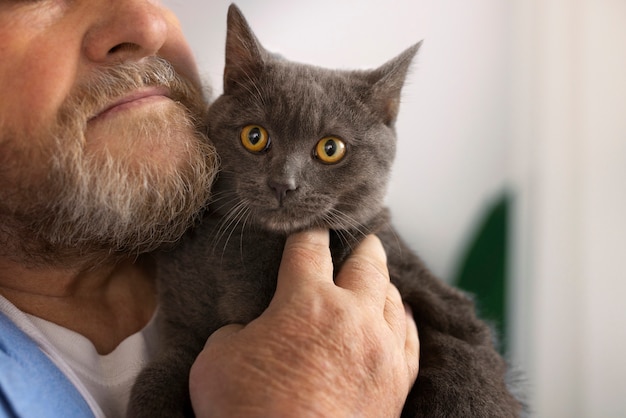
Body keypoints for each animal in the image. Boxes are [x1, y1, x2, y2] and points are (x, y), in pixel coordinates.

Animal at [129, 4, 524, 416]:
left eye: (330, 148)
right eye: (254, 136)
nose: (283, 184)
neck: (263, 247)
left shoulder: (425, 284)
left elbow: (467, 360)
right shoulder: (182, 320)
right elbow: (160, 374)